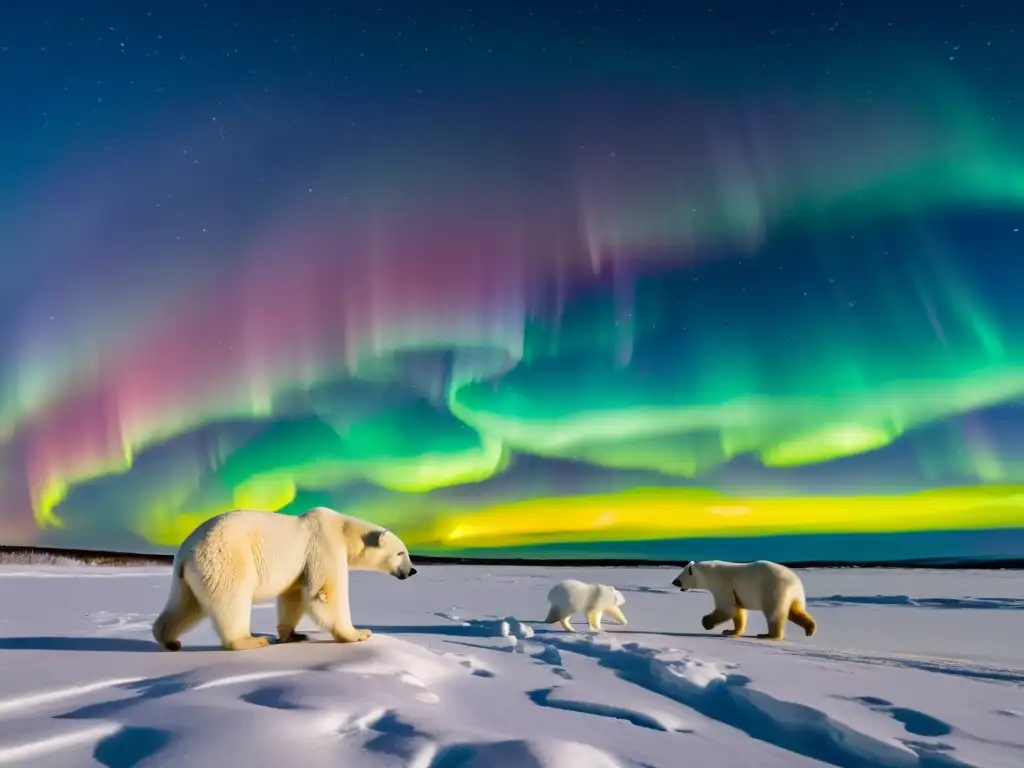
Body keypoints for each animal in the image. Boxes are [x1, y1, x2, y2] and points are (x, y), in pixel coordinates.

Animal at [151, 507, 415, 651]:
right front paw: (359, 633)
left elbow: (294, 596)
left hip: (190, 576)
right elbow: (324, 593)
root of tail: (185, 551)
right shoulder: (324, 546)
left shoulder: (302, 563)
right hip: (226, 560)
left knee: (185, 606)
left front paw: (293, 635)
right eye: (401, 553)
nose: (412, 571)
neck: (342, 529)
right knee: (232, 601)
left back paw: (169, 640)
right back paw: (251, 640)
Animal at [671, 561, 815, 643]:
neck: (708, 572)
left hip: (773, 588)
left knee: (774, 612)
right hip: (795, 594)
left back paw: (767, 635)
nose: (674, 582)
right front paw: (730, 631)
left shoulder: (721, 584)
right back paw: (810, 629)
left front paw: (706, 623)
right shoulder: (734, 590)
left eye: (679, 577)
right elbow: (738, 611)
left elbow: (728, 608)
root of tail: (795, 581)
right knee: (795, 611)